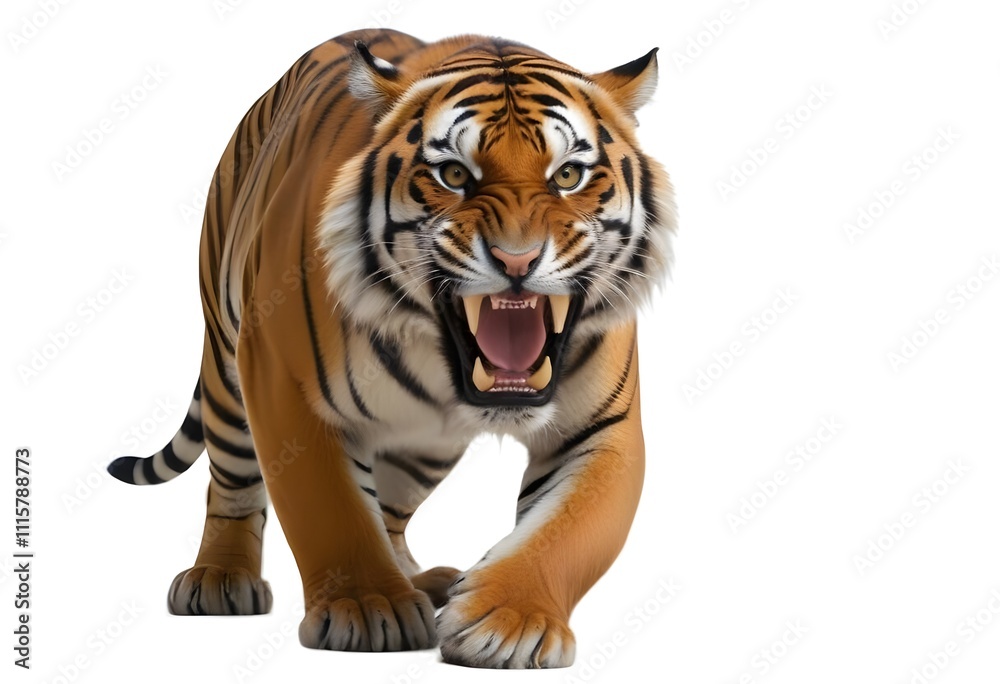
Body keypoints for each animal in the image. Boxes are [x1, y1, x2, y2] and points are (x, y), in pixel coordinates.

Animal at [107, 28, 676, 669]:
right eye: (453, 174)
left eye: (569, 175)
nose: (517, 260)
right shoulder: (283, 388)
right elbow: (330, 510)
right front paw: (367, 607)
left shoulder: (603, 428)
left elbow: (569, 532)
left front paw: (508, 621)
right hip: (229, 375)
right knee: (231, 483)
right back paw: (219, 579)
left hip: (424, 447)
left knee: (391, 509)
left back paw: (421, 580)